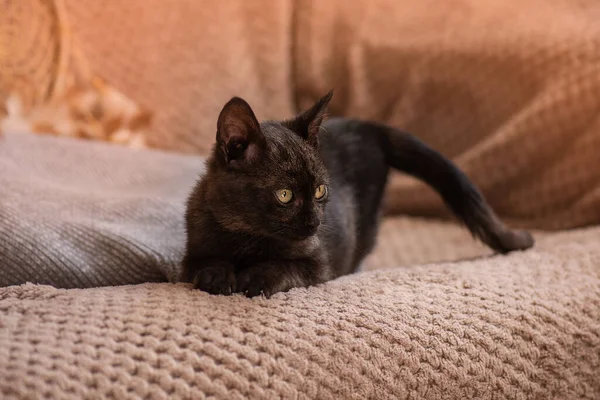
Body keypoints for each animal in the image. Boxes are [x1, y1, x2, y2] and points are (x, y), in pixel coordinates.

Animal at [183, 90, 536, 296]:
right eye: (284, 195)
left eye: (320, 191)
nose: (314, 223)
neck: (247, 235)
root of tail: (370, 127)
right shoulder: (191, 251)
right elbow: (206, 261)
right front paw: (216, 275)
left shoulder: (320, 264)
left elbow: (286, 267)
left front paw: (257, 277)